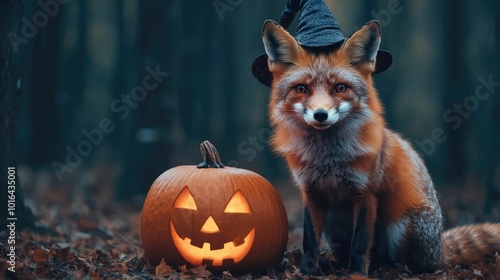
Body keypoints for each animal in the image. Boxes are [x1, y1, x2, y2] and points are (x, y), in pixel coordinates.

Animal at [260, 19, 500, 276]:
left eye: (340, 88)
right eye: (301, 89)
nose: (321, 115)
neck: (327, 159)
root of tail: (441, 250)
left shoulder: (366, 193)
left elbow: (359, 243)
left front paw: (356, 274)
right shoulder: (311, 192)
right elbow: (309, 239)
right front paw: (307, 269)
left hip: (402, 225)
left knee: (409, 263)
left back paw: (392, 267)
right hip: (334, 228)